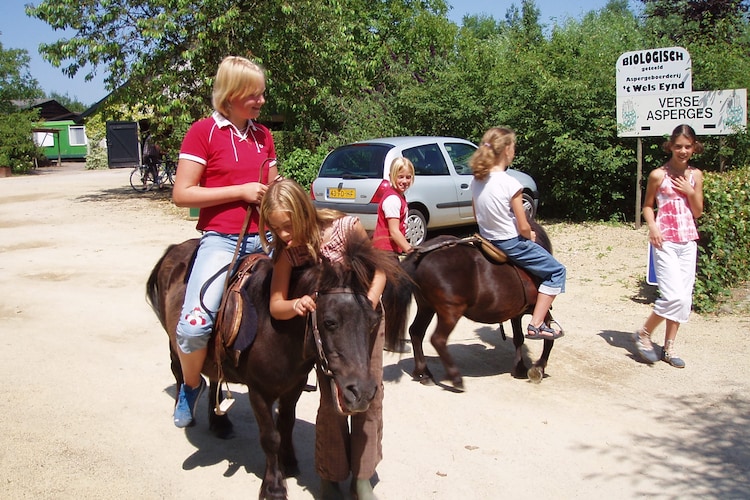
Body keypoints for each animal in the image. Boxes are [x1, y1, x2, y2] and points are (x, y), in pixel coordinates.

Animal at [147, 234, 406, 500]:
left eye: (373, 321)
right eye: (329, 322)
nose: (362, 393)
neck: (273, 328)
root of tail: (174, 249)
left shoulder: (293, 386)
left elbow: (286, 424)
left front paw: (289, 462)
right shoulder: (259, 392)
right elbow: (270, 437)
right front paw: (274, 486)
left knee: (214, 377)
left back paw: (220, 424)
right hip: (176, 341)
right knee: (180, 372)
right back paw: (184, 412)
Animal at [388, 222, 560, 390]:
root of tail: (422, 254)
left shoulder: (516, 313)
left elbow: (518, 338)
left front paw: (520, 368)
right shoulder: (539, 310)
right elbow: (549, 338)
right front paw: (538, 367)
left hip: (426, 308)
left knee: (416, 332)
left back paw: (424, 373)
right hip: (450, 312)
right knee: (438, 339)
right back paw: (456, 379)